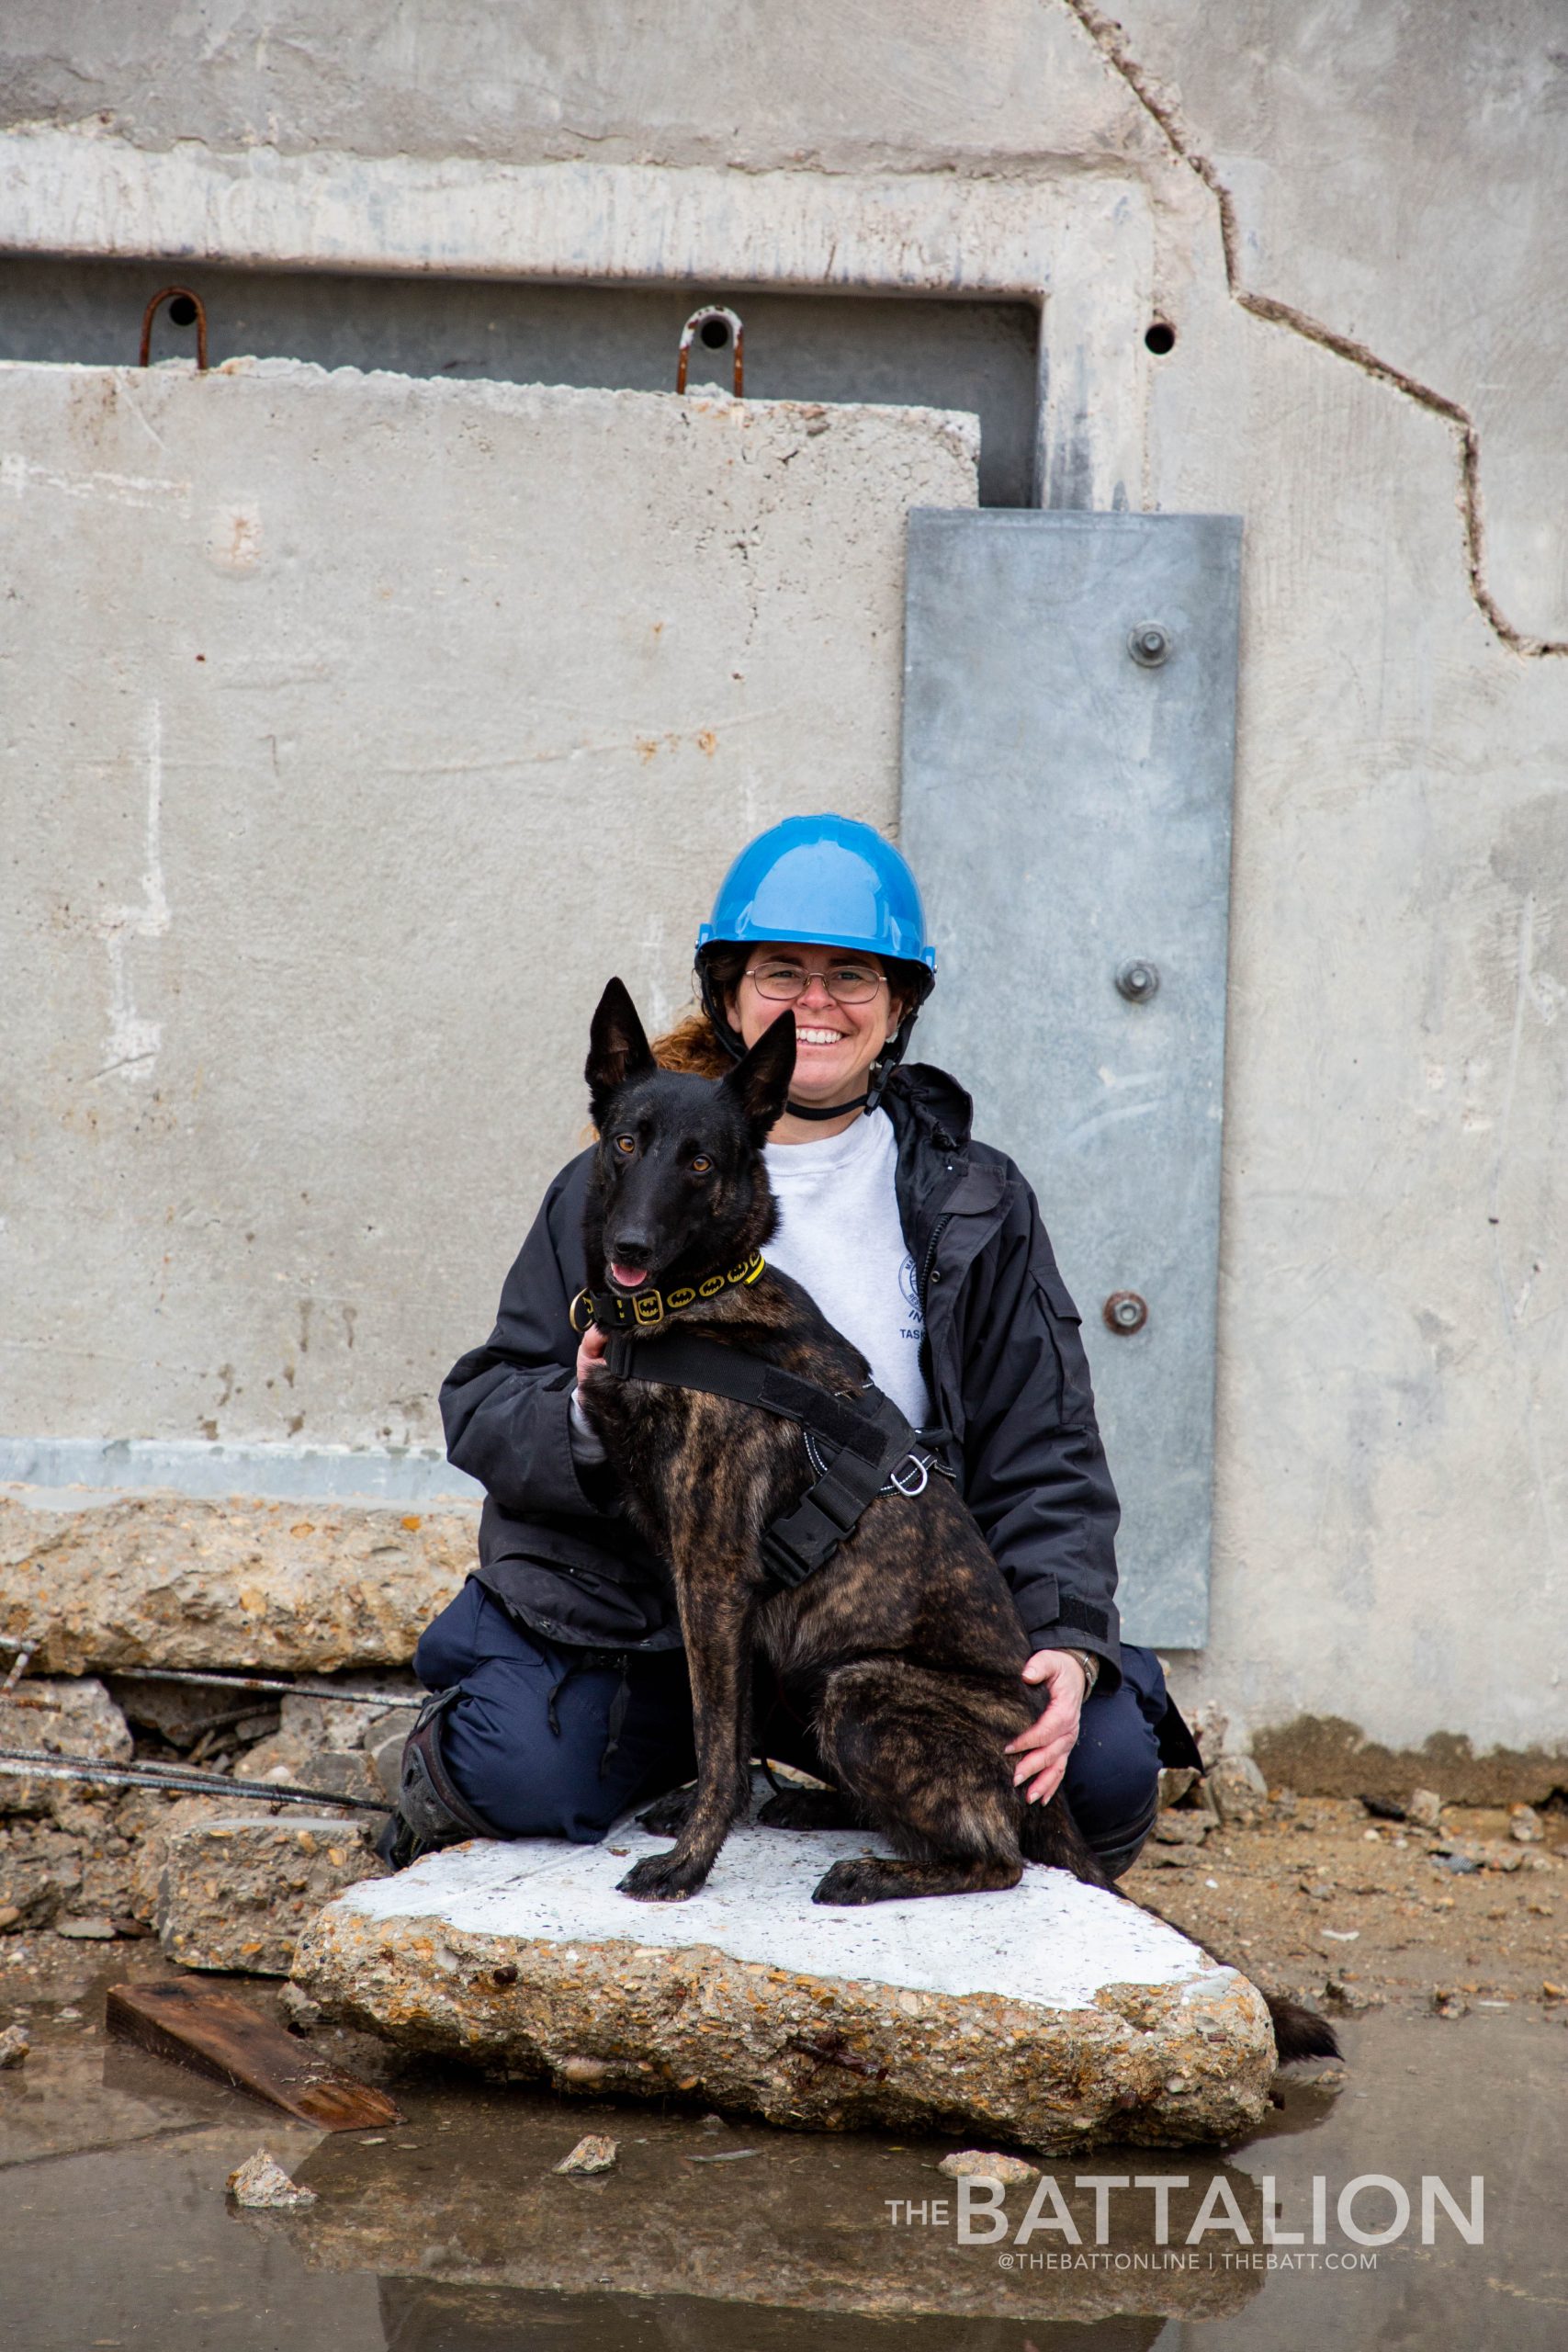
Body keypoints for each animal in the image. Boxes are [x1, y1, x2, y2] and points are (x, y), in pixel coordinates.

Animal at [582, 973, 1344, 2060]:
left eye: (700, 1162)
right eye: (624, 1144)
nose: (630, 1248)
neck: (692, 1311)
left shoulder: (714, 1571)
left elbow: (717, 1733)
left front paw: (691, 1861)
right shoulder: (713, 1587)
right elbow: (722, 1727)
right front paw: (696, 1811)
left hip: (862, 1686)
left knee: (1001, 1857)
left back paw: (874, 1868)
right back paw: (824, 1808)